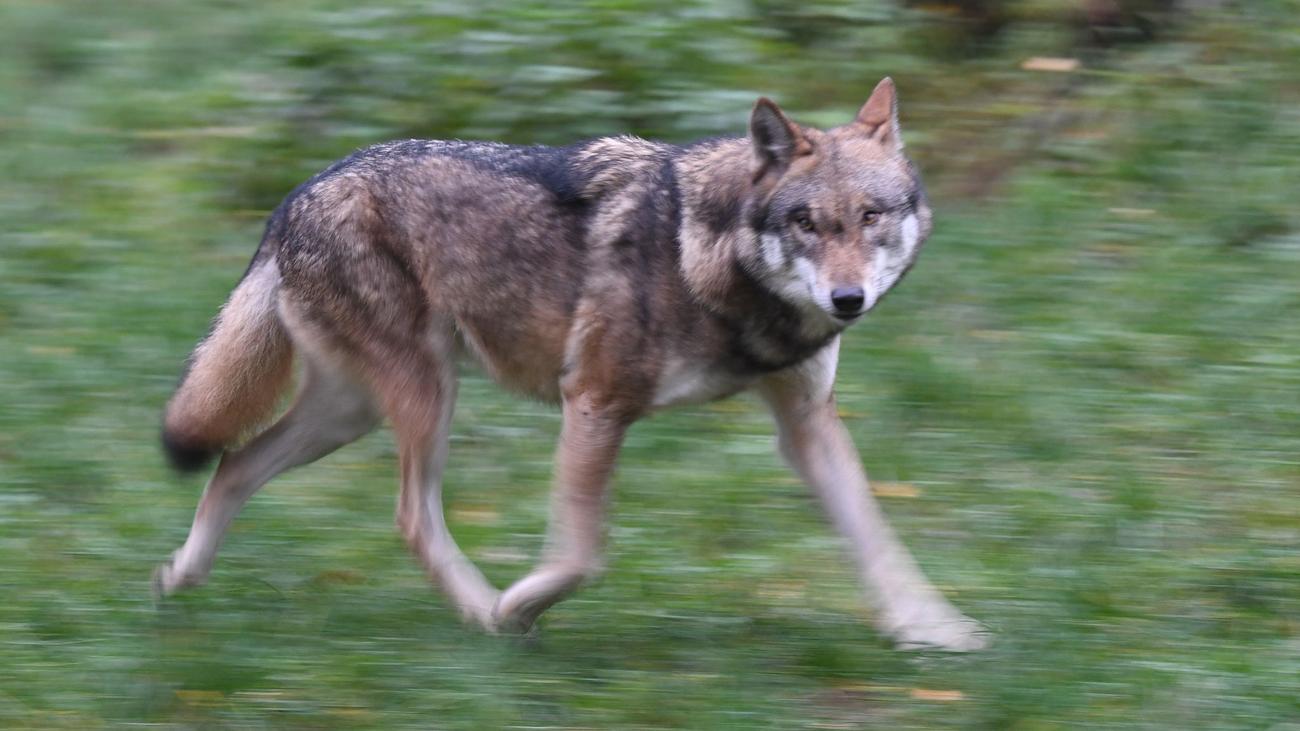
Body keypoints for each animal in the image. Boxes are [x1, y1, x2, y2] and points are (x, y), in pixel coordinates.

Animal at [156, 78, 985, 650]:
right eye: (807, 223)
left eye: (871, 216)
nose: (848, 298)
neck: (709, 259)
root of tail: (295, 195)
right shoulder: (594, 401)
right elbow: (583, 553)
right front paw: (517, 604)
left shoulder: (807, 424)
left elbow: (877, 537)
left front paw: (934, 631)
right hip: (423, 397)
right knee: (409, 516)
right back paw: (483, 613)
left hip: (351, 412)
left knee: (235, 462)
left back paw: (179, 577)